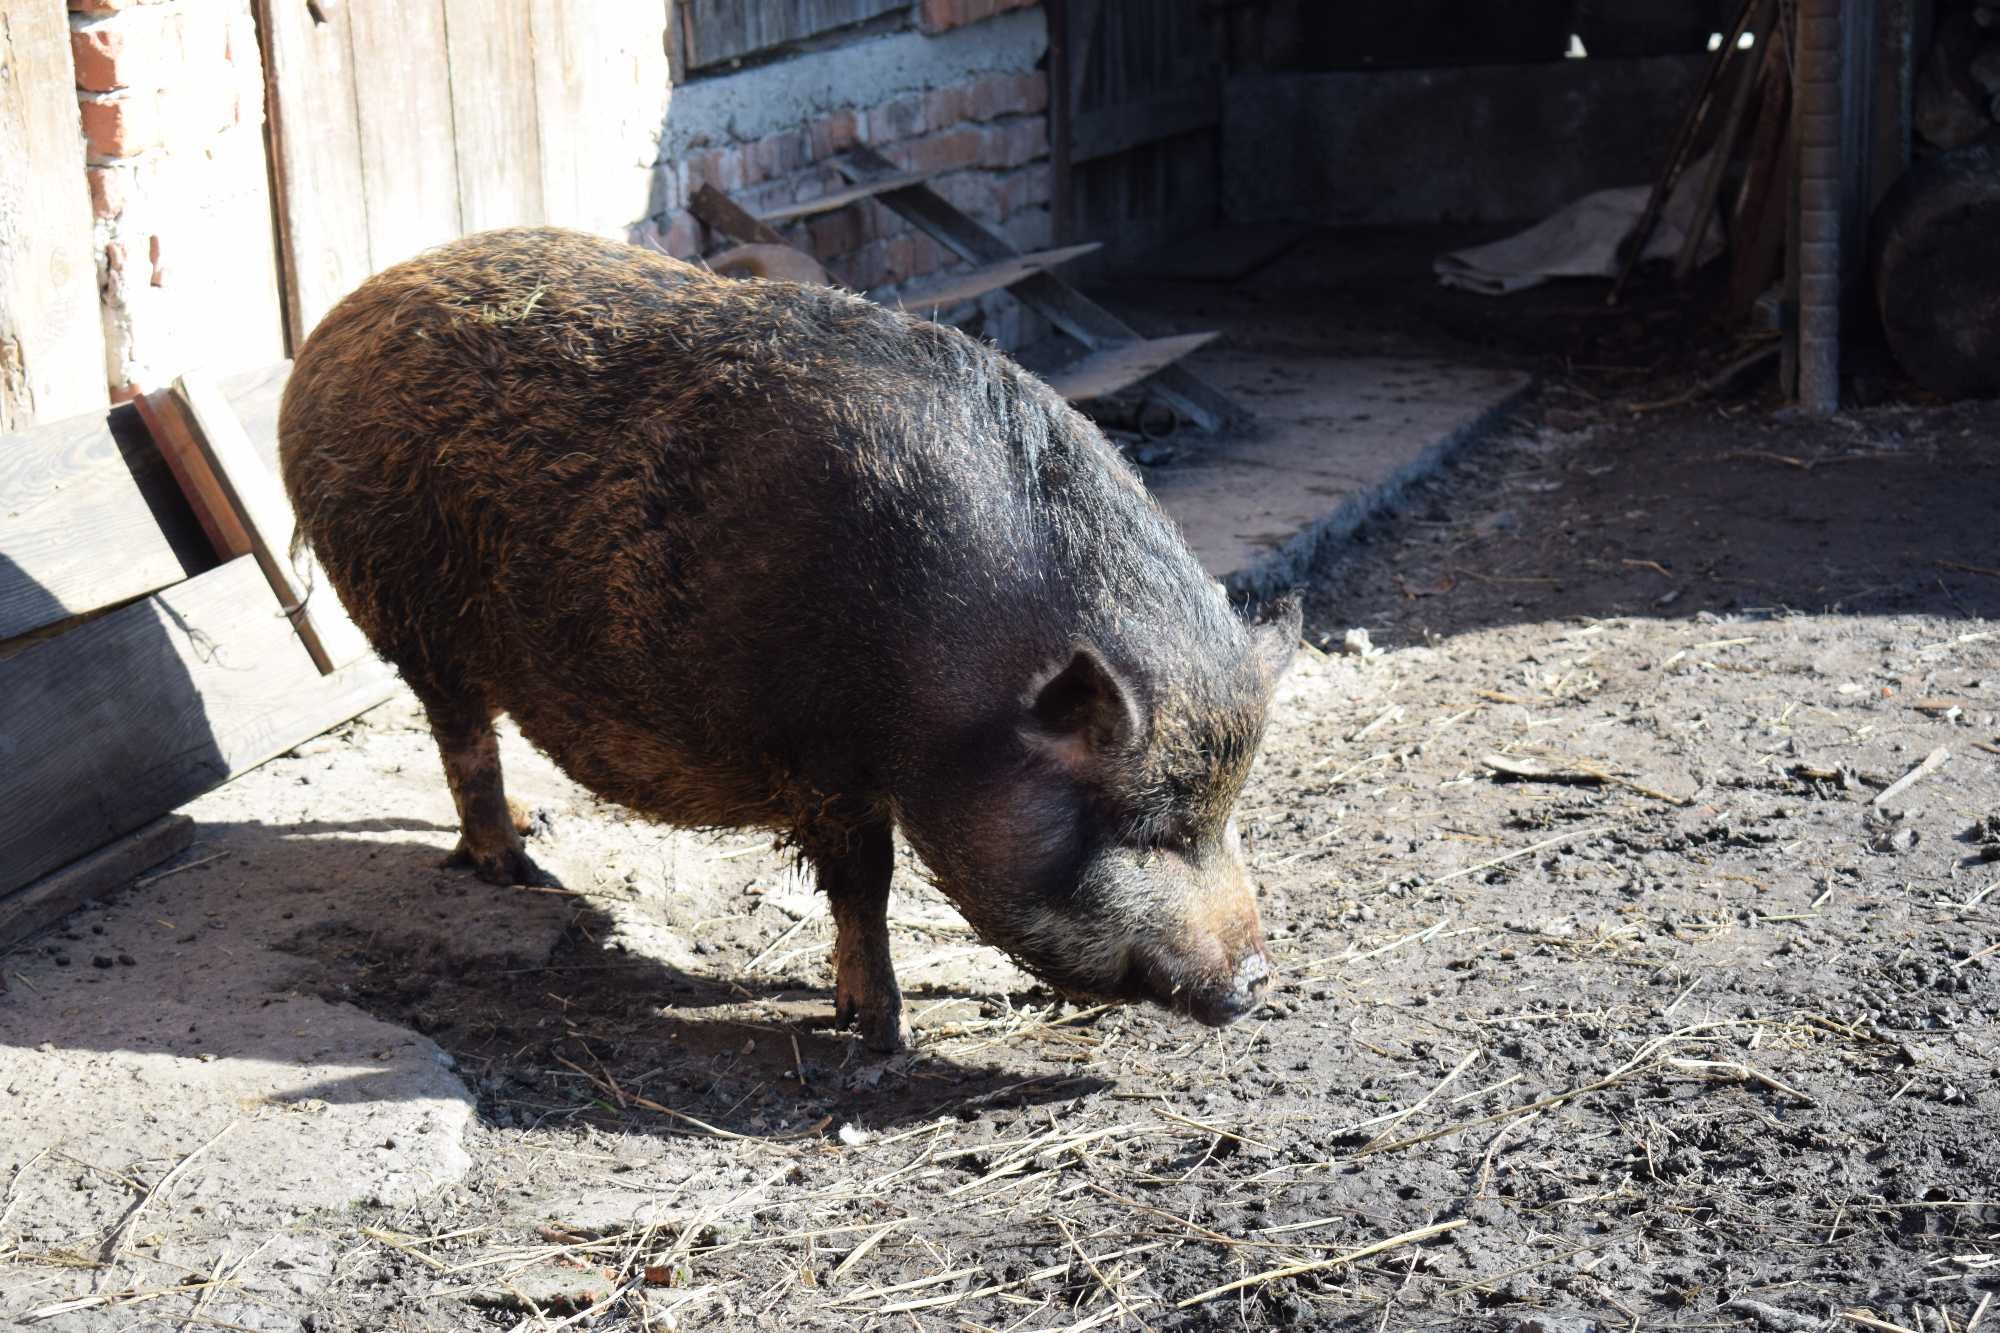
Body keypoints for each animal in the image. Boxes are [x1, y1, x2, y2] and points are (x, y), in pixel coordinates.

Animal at [282, 228, 1304, 1048]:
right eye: (1144, 823)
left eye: (1227, 814)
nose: (1259, 980)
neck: (955, 675)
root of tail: (331, 330)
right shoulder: (825, 758)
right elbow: (867, 885)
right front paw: (882, 1031)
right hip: (408, 609)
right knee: (461, 736)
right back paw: (515, 864)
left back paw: (537, 826)